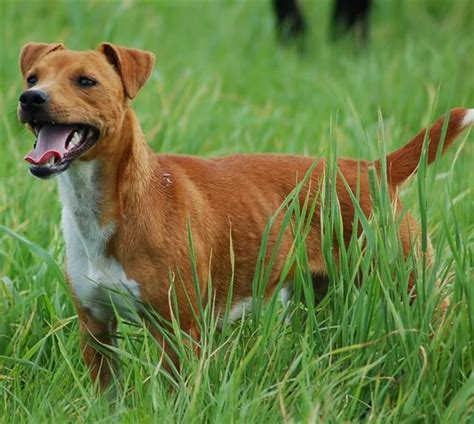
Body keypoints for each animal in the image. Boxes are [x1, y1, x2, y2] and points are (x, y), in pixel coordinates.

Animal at [16, 42, 472, 388]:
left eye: (86, 81)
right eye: (33, 78)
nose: (30, 99)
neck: (118, 205)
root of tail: (373, 169)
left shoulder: (180, 333)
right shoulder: (96, 329)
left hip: (409, 285)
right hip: (310, 297)